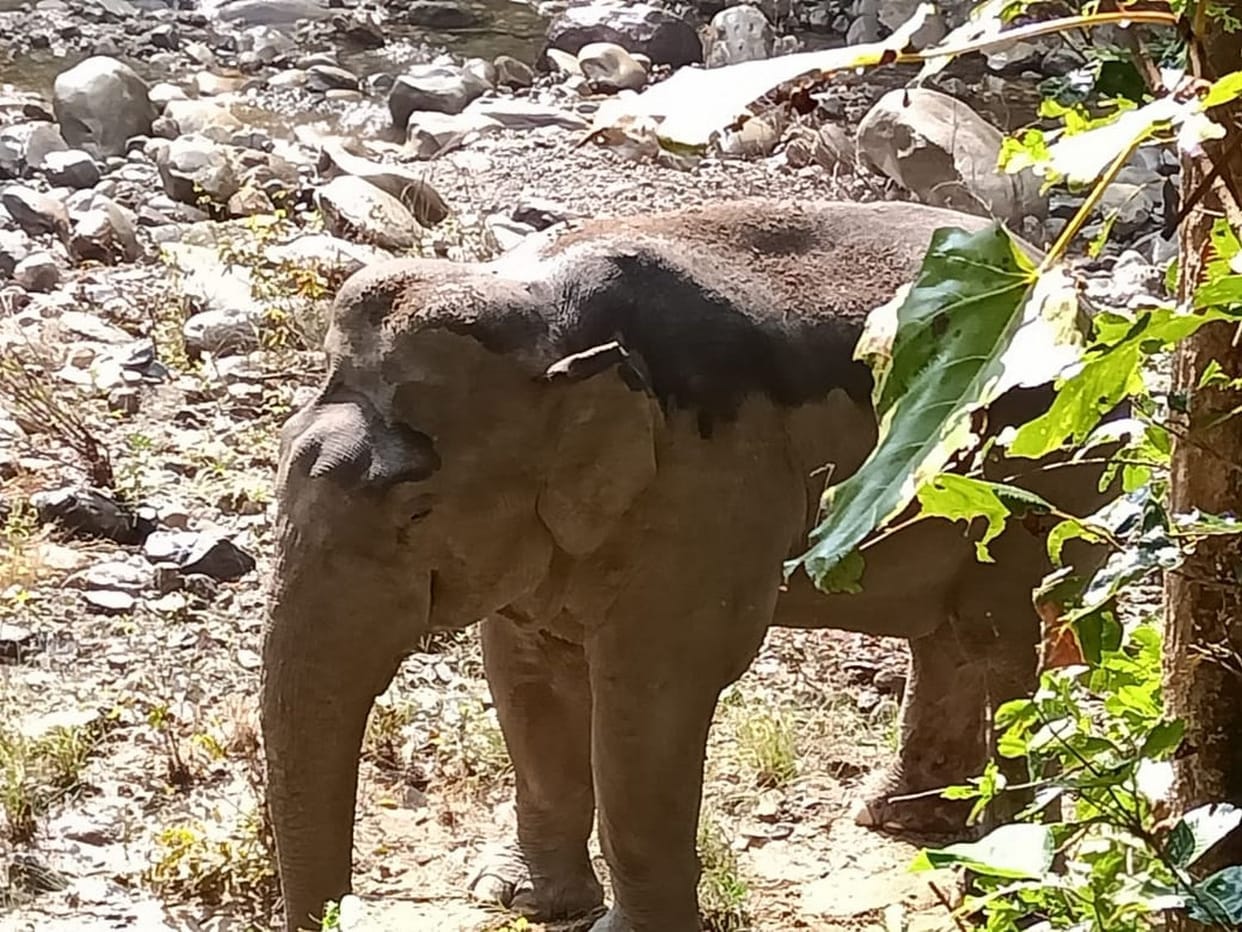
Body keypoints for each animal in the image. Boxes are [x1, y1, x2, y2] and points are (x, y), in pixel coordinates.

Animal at [262, 199, 1115, 932]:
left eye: (414, 515)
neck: (542, 317)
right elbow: (526, 675)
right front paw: (519, 899)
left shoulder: (710, 494)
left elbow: (650, 697)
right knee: (944, 636)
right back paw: (901, 815)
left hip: (1044, 473)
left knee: (999, 635)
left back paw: (999, 863)